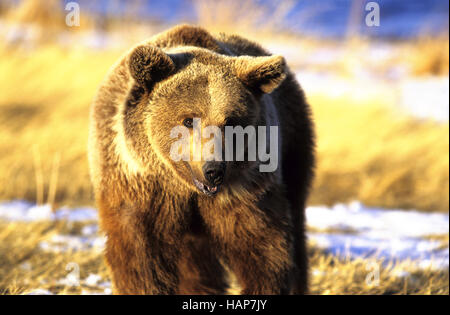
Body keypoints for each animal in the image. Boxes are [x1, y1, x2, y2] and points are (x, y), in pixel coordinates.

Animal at [87, 24, 312, 296]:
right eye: (188, 120)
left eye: (231, 122)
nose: (213, 170)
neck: (185, 187)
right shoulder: (142, 185)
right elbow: (142, 252)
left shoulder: (245, 189)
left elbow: (262, 245)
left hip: (292, 142)